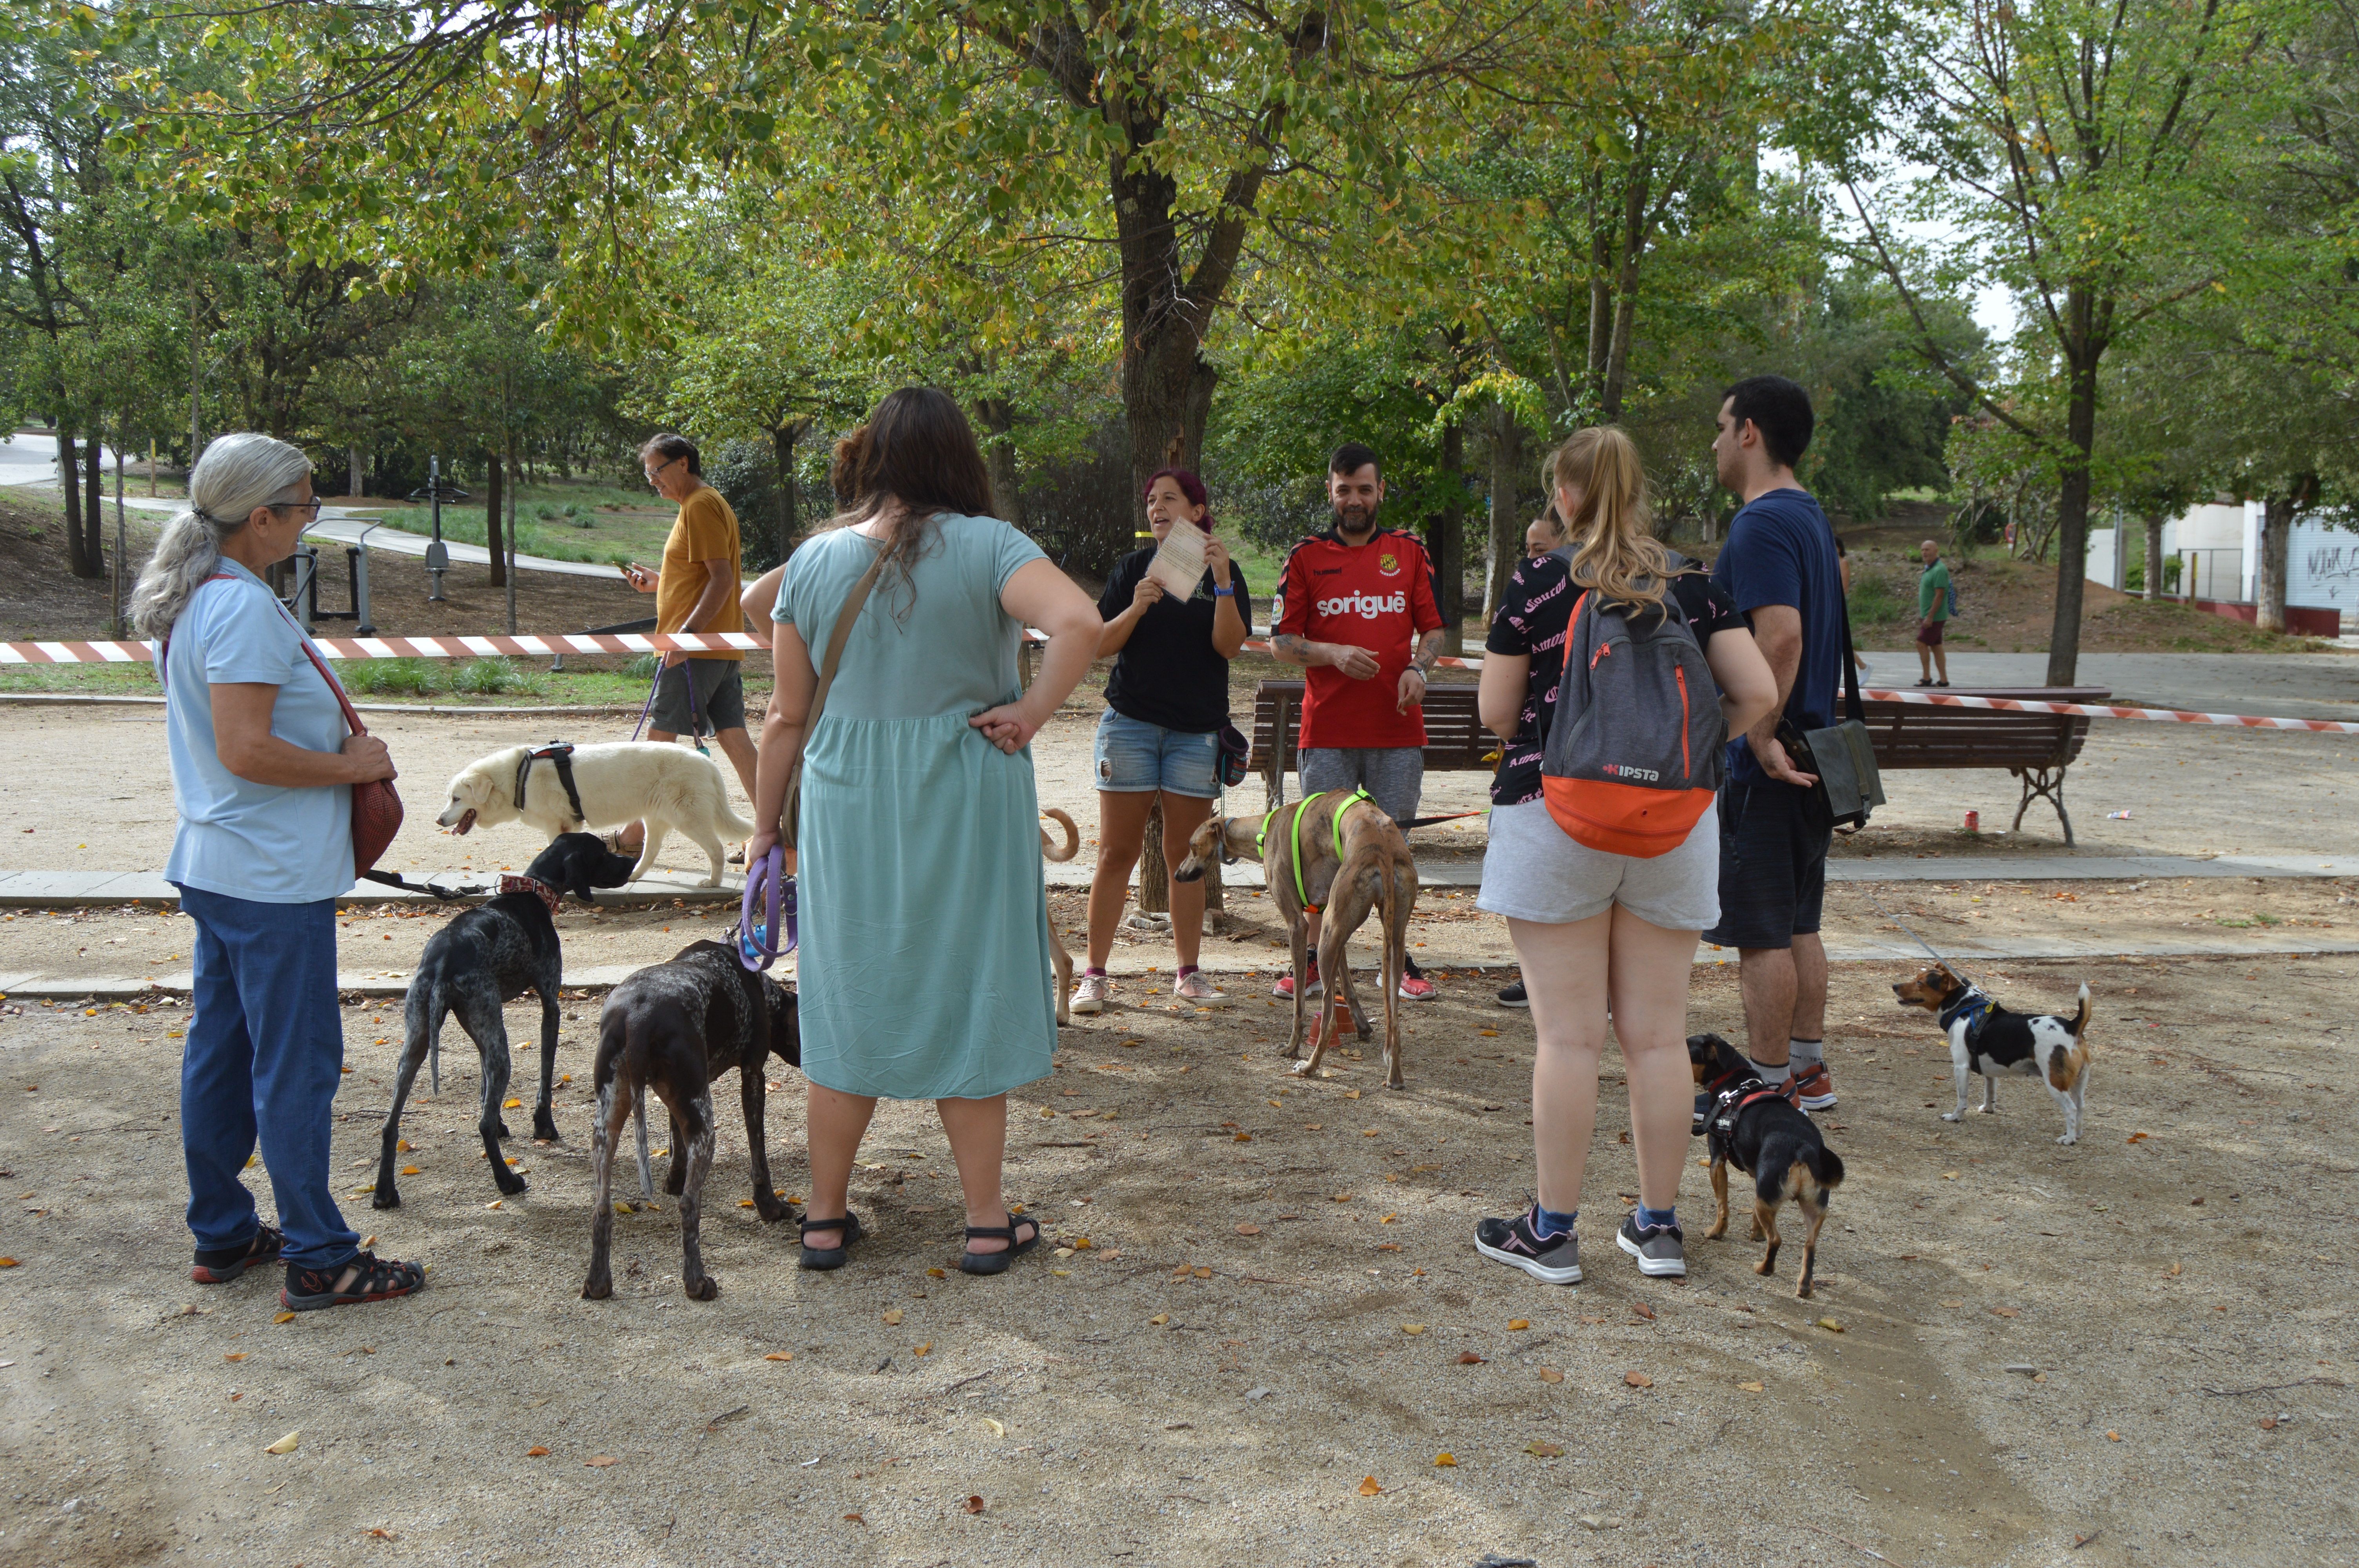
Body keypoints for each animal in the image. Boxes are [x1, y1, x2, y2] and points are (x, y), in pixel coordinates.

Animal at [365, 830, 632, 1207]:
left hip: (419, 1043)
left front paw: (506, 1123)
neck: (533, 891)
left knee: (390, 1125)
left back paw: (385, 1192)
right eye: (602, 852)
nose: (631, 862)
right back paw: (507, 1181)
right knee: (483, 1125)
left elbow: (483, 1088)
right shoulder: (551, 1006)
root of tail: (443, 962)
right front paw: (543, 1127)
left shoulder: (486, 1028)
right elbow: (545, 1079)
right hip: (501, 1050)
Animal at [431, 745, 745, 886]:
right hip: (655, 820)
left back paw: (713, 882)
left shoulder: (557, 825)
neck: (520, 777)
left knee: (716, 849)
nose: (439, 821)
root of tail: (707, 762)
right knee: (651, 851)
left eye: (456, 798)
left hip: (688, 819)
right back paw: (633, 875)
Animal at [585, 943, 807, 1292]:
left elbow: (675, 1141)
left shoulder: (676, 1100)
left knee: (602, 1207)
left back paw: (597, 1282)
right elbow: (759, 1157)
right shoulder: (753, 1076)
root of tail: (637, 1017)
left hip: (608, 1125)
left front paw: (674, 1179)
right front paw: (769, 1206)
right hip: (705, 1128)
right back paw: (697, 1282)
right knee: (690, 1206)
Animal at [1170, 788, 1406, 1084]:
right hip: (1381, 938)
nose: (1178, 875)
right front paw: (1362, 1025)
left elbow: (1299, 1007)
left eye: (1192, 846)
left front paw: (1292, 1046)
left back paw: (1309, 1067)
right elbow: (1347, 980)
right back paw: (1395, 1076)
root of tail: (1382, 847)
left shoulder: (1298, 925)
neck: (1262, 831)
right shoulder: (1333, 922)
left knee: (1328, 1020)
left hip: (1330, 936)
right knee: (1394, 1016)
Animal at [1887, 962, 2095, 1146]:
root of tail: (2072, 1026)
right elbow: (1990, 1091)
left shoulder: (1961, 1067)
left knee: (2071, 1109)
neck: (1961, 1008)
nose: (1894, 986)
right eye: (1916, 977)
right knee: (2081, 1107)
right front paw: (1988, 1109)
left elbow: (1962, 1099)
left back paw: (2068, 1139)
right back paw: (2077, 1134)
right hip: (2079, 1081)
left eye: (1920, 983)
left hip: (2054, 1082)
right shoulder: (1989, 1070)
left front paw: (1956, 1117)